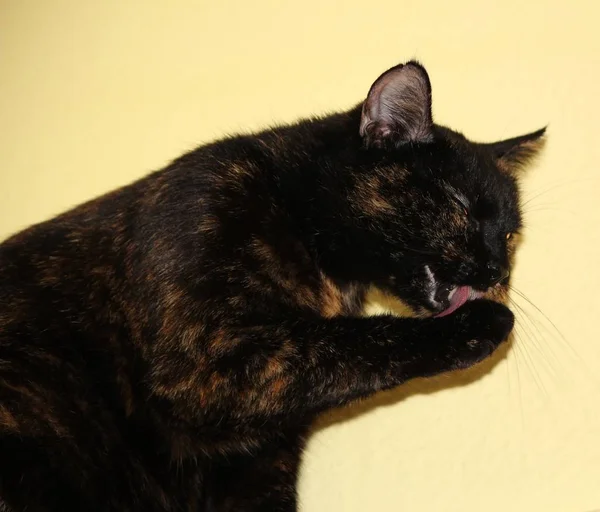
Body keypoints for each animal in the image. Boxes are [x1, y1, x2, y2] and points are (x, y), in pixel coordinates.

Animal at [0, 62, 544, 510]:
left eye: (510, 234)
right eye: (460, 205)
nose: (496, 271)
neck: (292, 209)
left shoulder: (260, 457)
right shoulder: (200, 363)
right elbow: (355, 338)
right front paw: (483, 323)